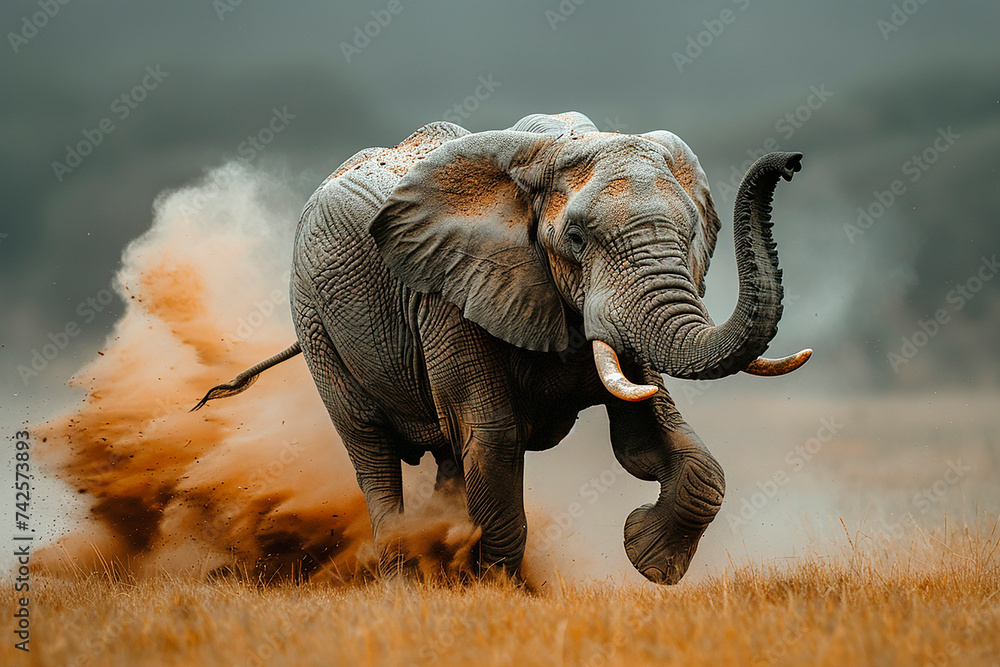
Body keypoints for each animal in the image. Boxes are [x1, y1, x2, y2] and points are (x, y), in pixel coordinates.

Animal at [194, 111, 810, 584]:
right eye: (575, 238)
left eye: (689, 236)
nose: (790, 162)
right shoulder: (448, 293)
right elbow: (493, 440)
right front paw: (495, 593)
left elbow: (650, 438)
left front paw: (652, 561)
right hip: (315, 321)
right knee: (372, 449)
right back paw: (405, 577)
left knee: (447, 455)